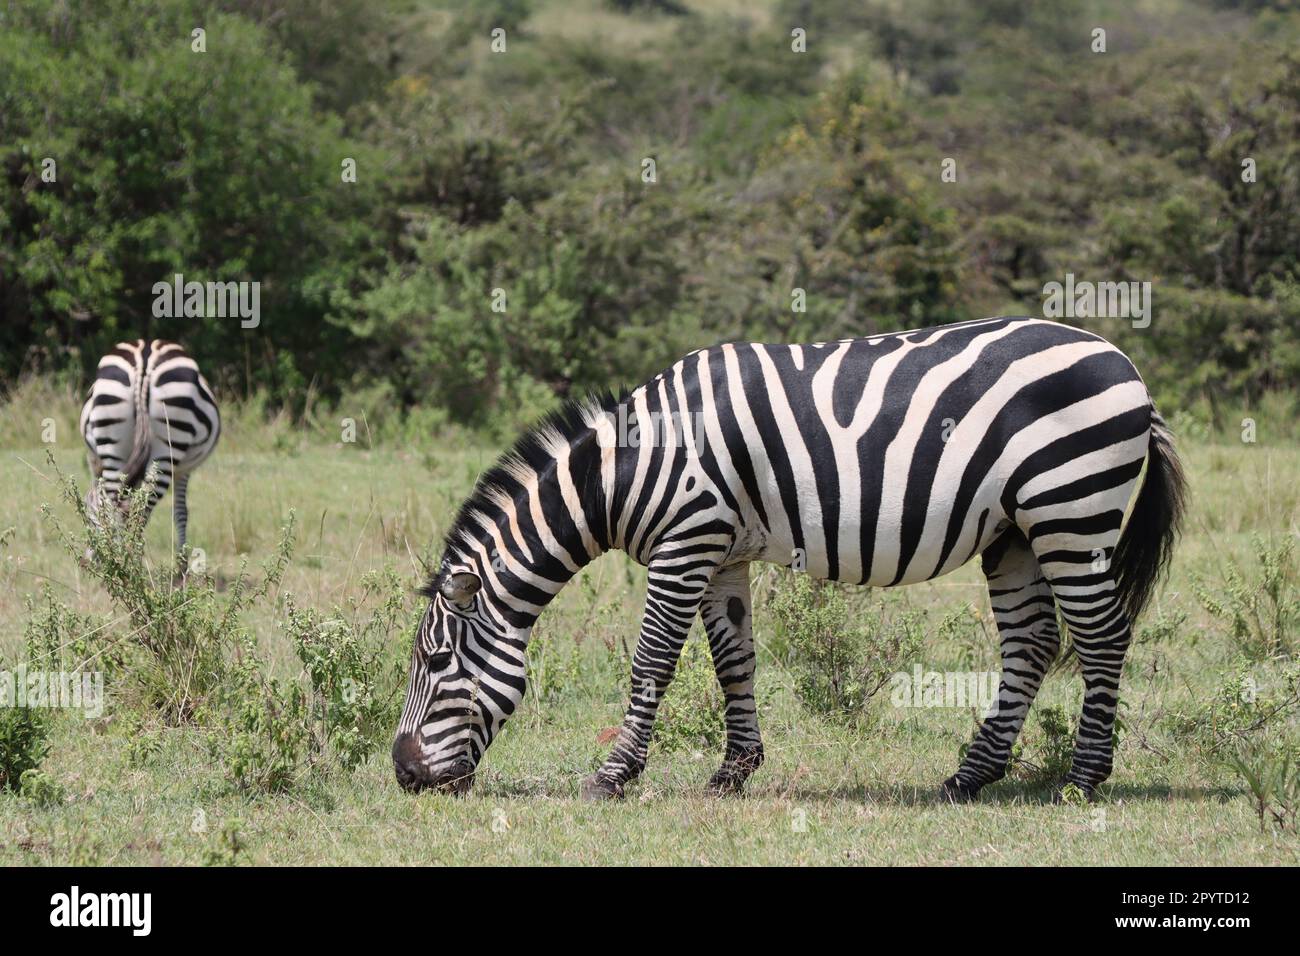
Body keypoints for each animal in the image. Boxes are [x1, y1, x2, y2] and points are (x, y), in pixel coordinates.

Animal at [79, 340, 221, 556]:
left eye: (88, 516)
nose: (85, 561)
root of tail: (144, 360)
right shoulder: (183, 471)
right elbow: (181, 512)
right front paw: (182, 562)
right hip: (168, 444)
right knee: (140, 511)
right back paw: (127, 560)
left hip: (113, 440)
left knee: (117, 504)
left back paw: (119, 560)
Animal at [393, 316, 1185, 802]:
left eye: (434, 662)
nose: (402, 774)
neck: (633, 466)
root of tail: (1126, 365)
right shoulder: (721, 553)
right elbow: (734, 661)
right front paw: (733, 772)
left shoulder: (685, 540)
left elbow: (652, 661)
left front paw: (613, 775)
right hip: (1015, 532)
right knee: (1032, 643)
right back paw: (968, 777)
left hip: (1070, 510)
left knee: (1102, 637)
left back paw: (1084, 779)